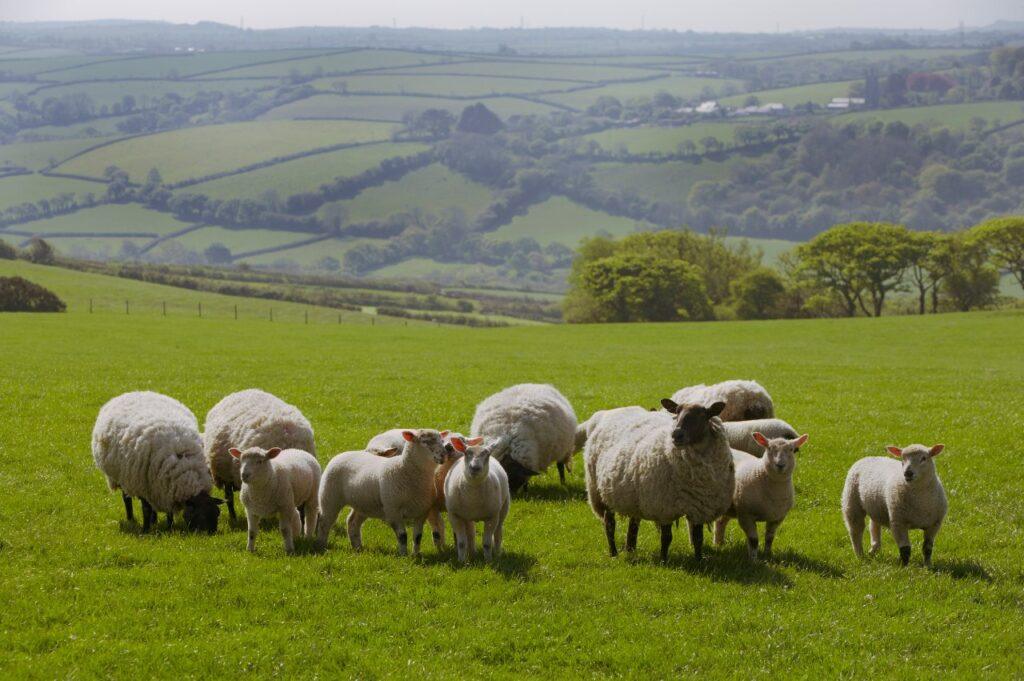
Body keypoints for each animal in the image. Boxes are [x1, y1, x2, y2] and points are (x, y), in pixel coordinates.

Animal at [92, 391, 223, 533]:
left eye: (217, 513)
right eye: (200, 515)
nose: (212, 534)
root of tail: (133, 392)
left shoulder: (165, 487)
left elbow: (168, 511)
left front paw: (169, 527)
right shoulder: (142, 484)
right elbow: (146, 509)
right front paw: (145, 530)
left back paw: (153, 521)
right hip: (123, 476)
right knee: (127, 498)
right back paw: (131, 519)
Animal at [316, 429, 448, 555]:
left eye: (441, 440)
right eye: (425, 441)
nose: (444, 455)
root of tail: (342, 453)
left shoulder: (422, 512)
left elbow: (417, 537)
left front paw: (416, 554)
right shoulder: (393, 511)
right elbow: (402, 536)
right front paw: (404, 555)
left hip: (364, 504)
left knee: (352, 522)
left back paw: (358, 548)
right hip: (329, 497)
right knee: (324, 521)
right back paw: (322, 545)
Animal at [584, 398, 735, 561]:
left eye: (702, 415)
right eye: (677, 412)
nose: (676, 434)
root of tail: (613, 411)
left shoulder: (699, 508)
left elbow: (697, 538)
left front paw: (699, 560)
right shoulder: (665, 508)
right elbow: (666, 537)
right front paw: (663, 560)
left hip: (633, 497)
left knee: (634, 523)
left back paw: (630, 549)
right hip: (599, 492)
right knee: (609, 524)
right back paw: (613, 553)